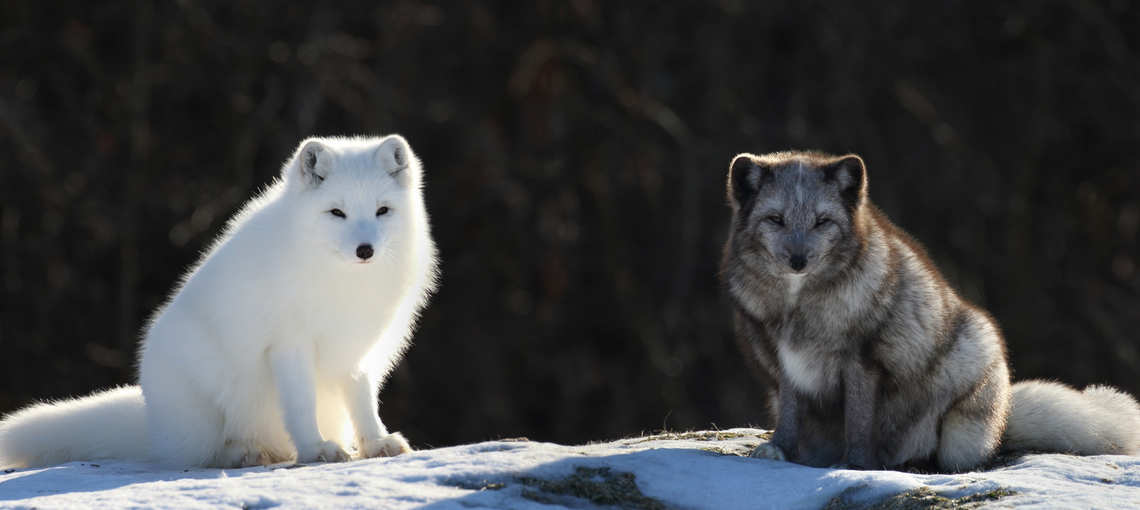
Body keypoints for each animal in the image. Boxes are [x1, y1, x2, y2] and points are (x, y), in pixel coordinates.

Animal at [0, 135, 439, 469]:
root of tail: (151, 418)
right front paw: (316, 449)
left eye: (382, 211)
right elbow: (300, 404)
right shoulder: (288, 344)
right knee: (203, 454)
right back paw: (246, 453)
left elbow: (363, 402)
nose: (365, 250)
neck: (345, 284)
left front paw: (375, 443)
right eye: (337, 212)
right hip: (205, 406)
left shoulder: (357, 351)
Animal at [720, 151, 1140, 471]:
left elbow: (858, 420)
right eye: (775, 219)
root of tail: (1005, 415)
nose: (798, 261)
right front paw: (781, 449)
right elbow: (790, 413)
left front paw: (855, 463)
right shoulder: (784, 361)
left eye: (822, 221)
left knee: (951, 455)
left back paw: (913, 461)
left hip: (964, 404)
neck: (797, 305)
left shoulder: (864, 359)